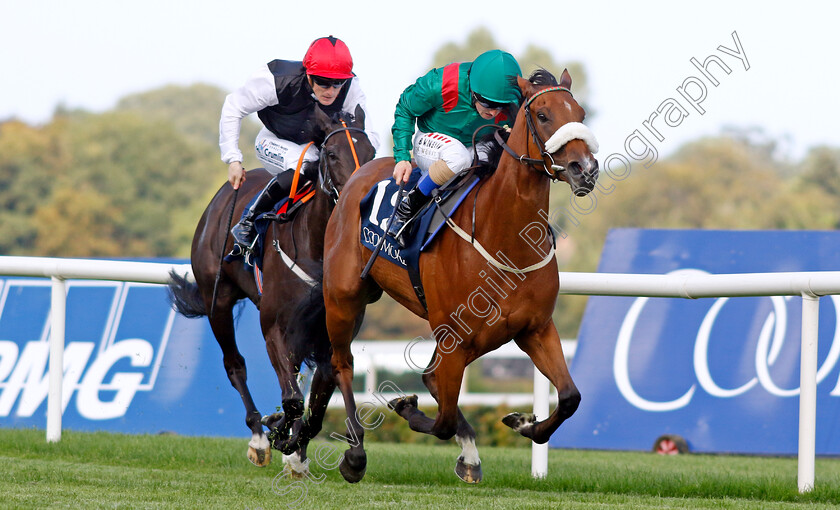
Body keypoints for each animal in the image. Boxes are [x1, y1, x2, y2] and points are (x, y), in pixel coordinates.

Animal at [167, 104, 374, 474]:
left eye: (373, 153)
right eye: (332, 154)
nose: (359, 196)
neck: (317, 248)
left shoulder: (330, 335)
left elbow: (317, 405)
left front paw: (318, 450)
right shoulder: (275, 328)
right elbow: (292, 400)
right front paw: (277, 432)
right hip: (218, 300)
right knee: (234, 364)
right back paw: (258, 436)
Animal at [322, 69, 596, 484]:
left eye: (579, 113)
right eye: (544, 115)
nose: (586, 169)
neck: (503, 239)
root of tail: (359, 174)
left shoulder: (535, 328)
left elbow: (569, 397)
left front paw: (524, 423)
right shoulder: (454, 337)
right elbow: (443, 421)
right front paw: (405, 408)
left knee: (430, 379)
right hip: (343, 298)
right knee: (342, 365)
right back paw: (354, 454)